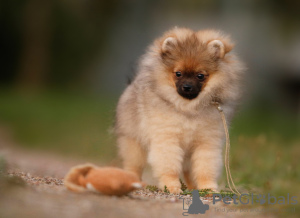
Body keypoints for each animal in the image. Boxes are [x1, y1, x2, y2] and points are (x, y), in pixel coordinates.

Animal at [114, 27, 244, 194]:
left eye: (200, 76)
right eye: (178, 73)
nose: (187, 86)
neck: (188, 108)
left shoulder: (206, 142)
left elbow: (205, 167)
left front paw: (208, 188)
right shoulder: (167, 138)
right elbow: (169, 166)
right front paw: (172, 186)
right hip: (134, 142)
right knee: (133, 164)